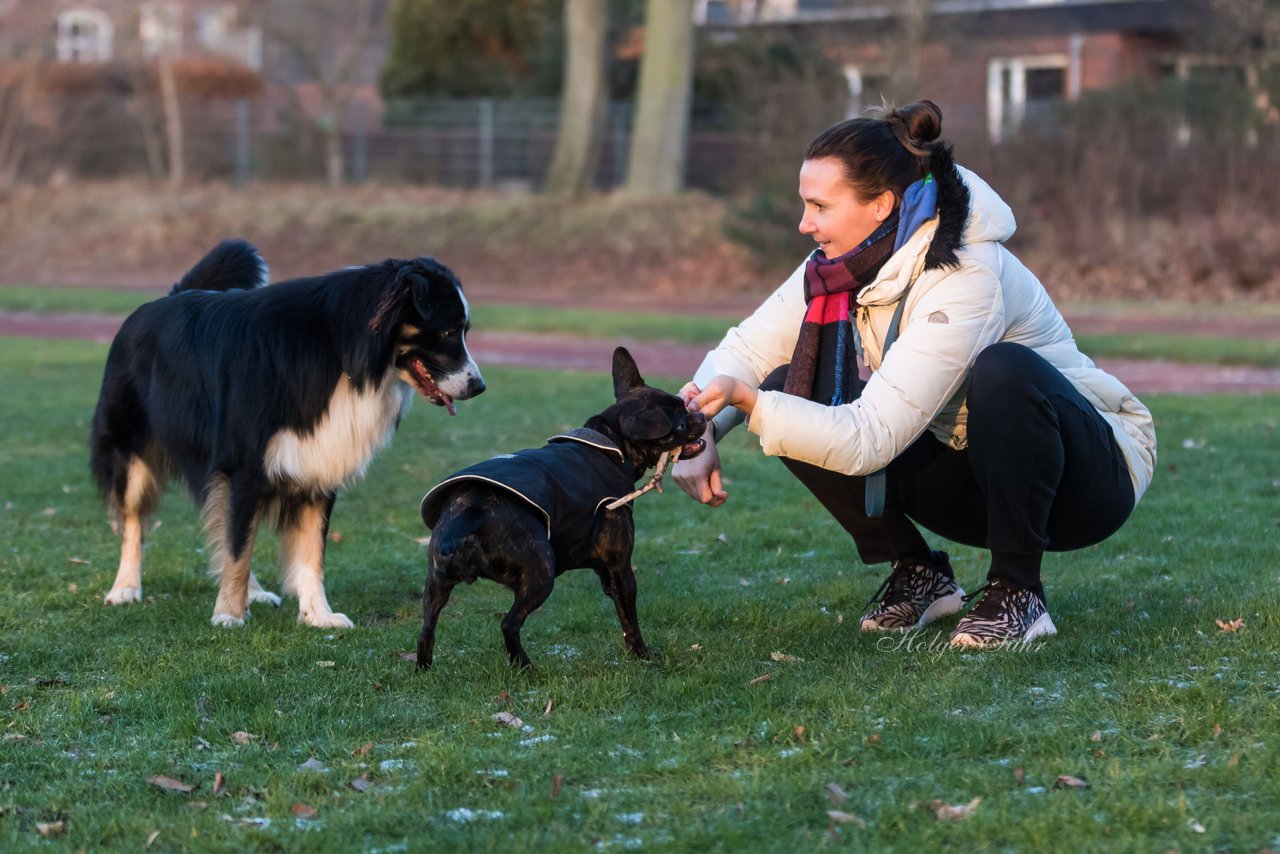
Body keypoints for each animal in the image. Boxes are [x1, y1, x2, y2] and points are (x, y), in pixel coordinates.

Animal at [417, 345, 701, 665]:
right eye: (680, 419)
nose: (701, 416)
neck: (611, 443)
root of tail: (470, 512)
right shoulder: (621, 569)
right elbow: (630, 621)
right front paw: (643, 656)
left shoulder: (605, 571)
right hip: (541, 574)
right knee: (509, 623)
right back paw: (524, 666)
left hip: (436, 586)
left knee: (426, 631)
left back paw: (424, 669)